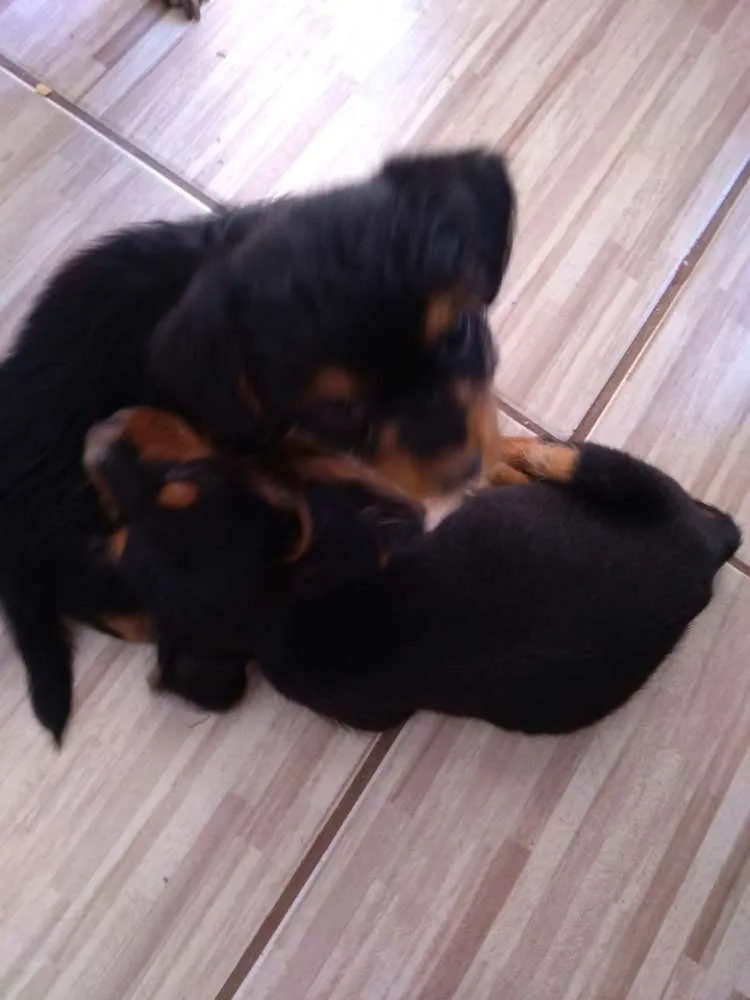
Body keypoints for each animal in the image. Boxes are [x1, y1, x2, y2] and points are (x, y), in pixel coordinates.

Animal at [85, 407, 741, 735]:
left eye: (189, 480)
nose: (98, 435)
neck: (281, 609)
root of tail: (709, 552)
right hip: (620, 478)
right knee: (554, 455)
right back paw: (504, 464)